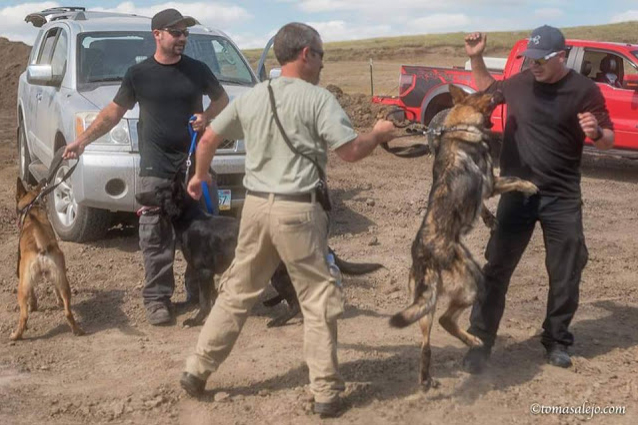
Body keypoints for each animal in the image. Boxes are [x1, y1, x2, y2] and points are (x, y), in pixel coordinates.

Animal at [12, 177, 84, 340]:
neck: (32, 210)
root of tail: (41, 246)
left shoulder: (23, 277)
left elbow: (32, 296)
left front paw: (33, 305)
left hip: (22, 288)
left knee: (24, 316)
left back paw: (16, 335)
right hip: (63, 281)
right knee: (67, 311)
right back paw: (77, 329)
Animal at [156, 174, 384, 326]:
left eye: (158, 195)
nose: (145, 193)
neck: (190, 220)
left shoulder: (204, 272)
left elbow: (204, 302)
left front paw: (196, 320)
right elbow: (208, 298)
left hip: (279, 274)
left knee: (295, 302)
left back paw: (278, 320)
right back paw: (270, 303)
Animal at [390, 84, 540, 390]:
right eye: (487, 92)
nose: (500, 85)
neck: (460, 127)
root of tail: (424, 253)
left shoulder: (483, 188)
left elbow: (482, 205)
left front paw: (490, 219)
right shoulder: (492, 181)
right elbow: (514, 179)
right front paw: (530, 186)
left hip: (425, 305)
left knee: (426, 343)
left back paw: (426, 379)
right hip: (474, 282)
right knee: (447, 320)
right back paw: (473, 341)